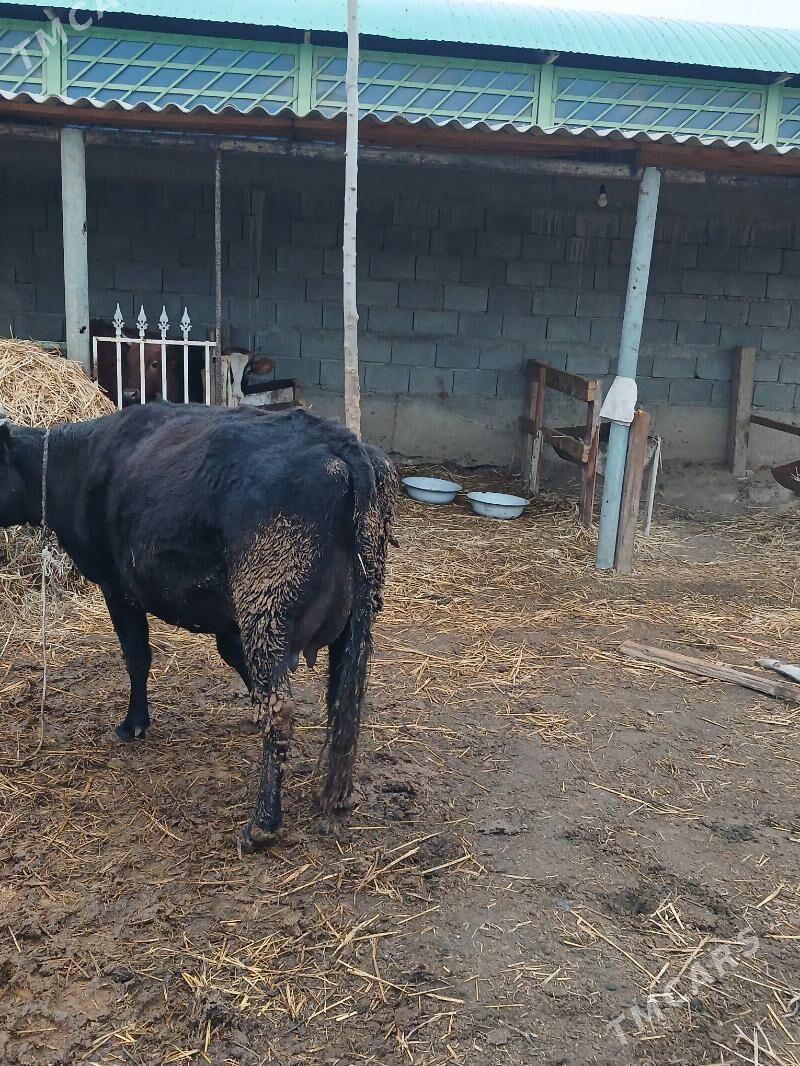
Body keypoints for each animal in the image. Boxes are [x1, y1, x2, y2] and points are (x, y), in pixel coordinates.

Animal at [0, 403, 397, 851]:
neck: (76, 461)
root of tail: (341, 443)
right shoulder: (227, 614)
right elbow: (232, 656)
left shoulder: (117, 586)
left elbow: (137, 656)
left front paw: (133, 724)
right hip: (355, 617)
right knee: (346, 697)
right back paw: (338, 794)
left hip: (267, 602)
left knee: (283, 709)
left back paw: (263, 823)